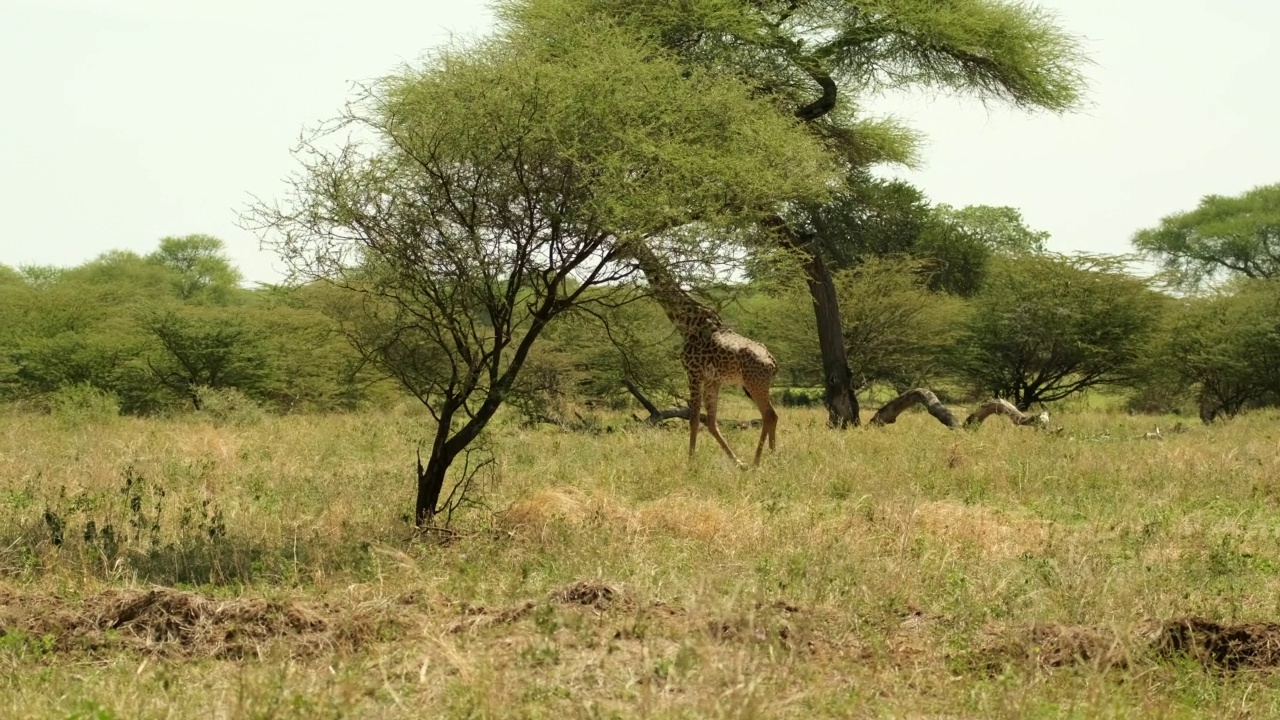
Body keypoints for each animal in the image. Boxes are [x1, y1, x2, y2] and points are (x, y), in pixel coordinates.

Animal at [622, 240, 773, 466]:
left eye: (624, 243)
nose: (616, 252)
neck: (686, 323)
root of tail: (773, 362)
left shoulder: (693, 373)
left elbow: (694, 419)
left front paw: (691, 461)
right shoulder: (713, 380)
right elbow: (710, 422)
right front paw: (736, 462)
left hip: (755, 385)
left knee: (769, 415)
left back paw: (757, 462)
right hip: (755, 386)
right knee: (773, 415)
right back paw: (771, 457)